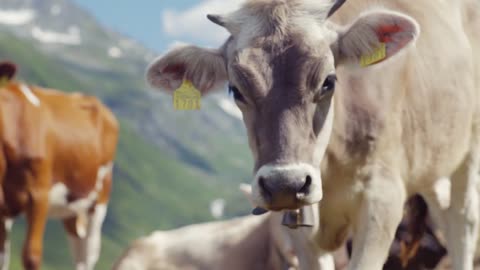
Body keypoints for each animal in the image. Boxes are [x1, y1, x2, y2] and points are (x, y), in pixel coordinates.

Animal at [146, 0, 480, 270]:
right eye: (235, 89)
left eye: (328, 81)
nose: (284, 183)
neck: (330, 169)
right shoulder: (300, 231)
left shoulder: (382, 198)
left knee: (462, 221)